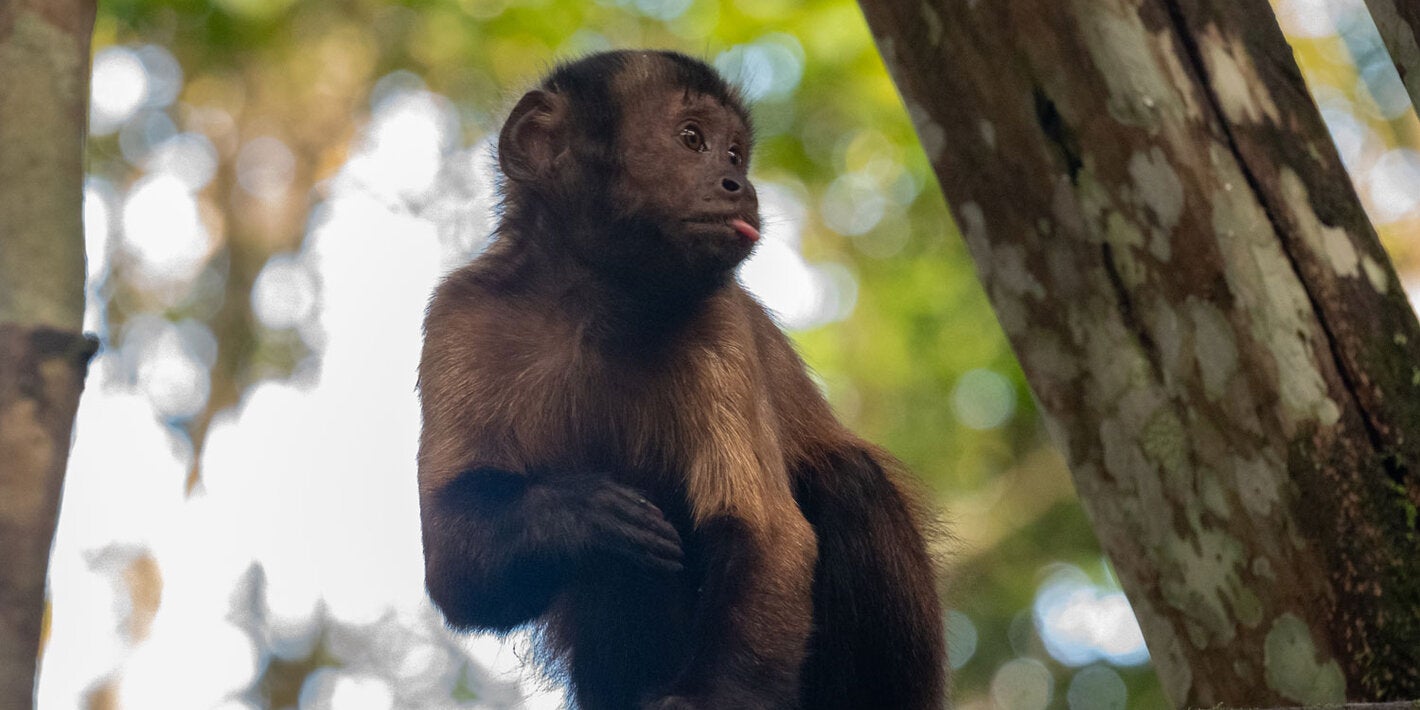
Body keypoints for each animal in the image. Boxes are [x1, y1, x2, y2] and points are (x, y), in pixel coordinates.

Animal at [417, 50, 947, 710]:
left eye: (734, 154)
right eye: (692, 140)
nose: (739, 185)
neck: (597, 300)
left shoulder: (717, 322)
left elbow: (767, 538)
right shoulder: (461, 315)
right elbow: (455, 569)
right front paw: (575, 516)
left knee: (850, 481)